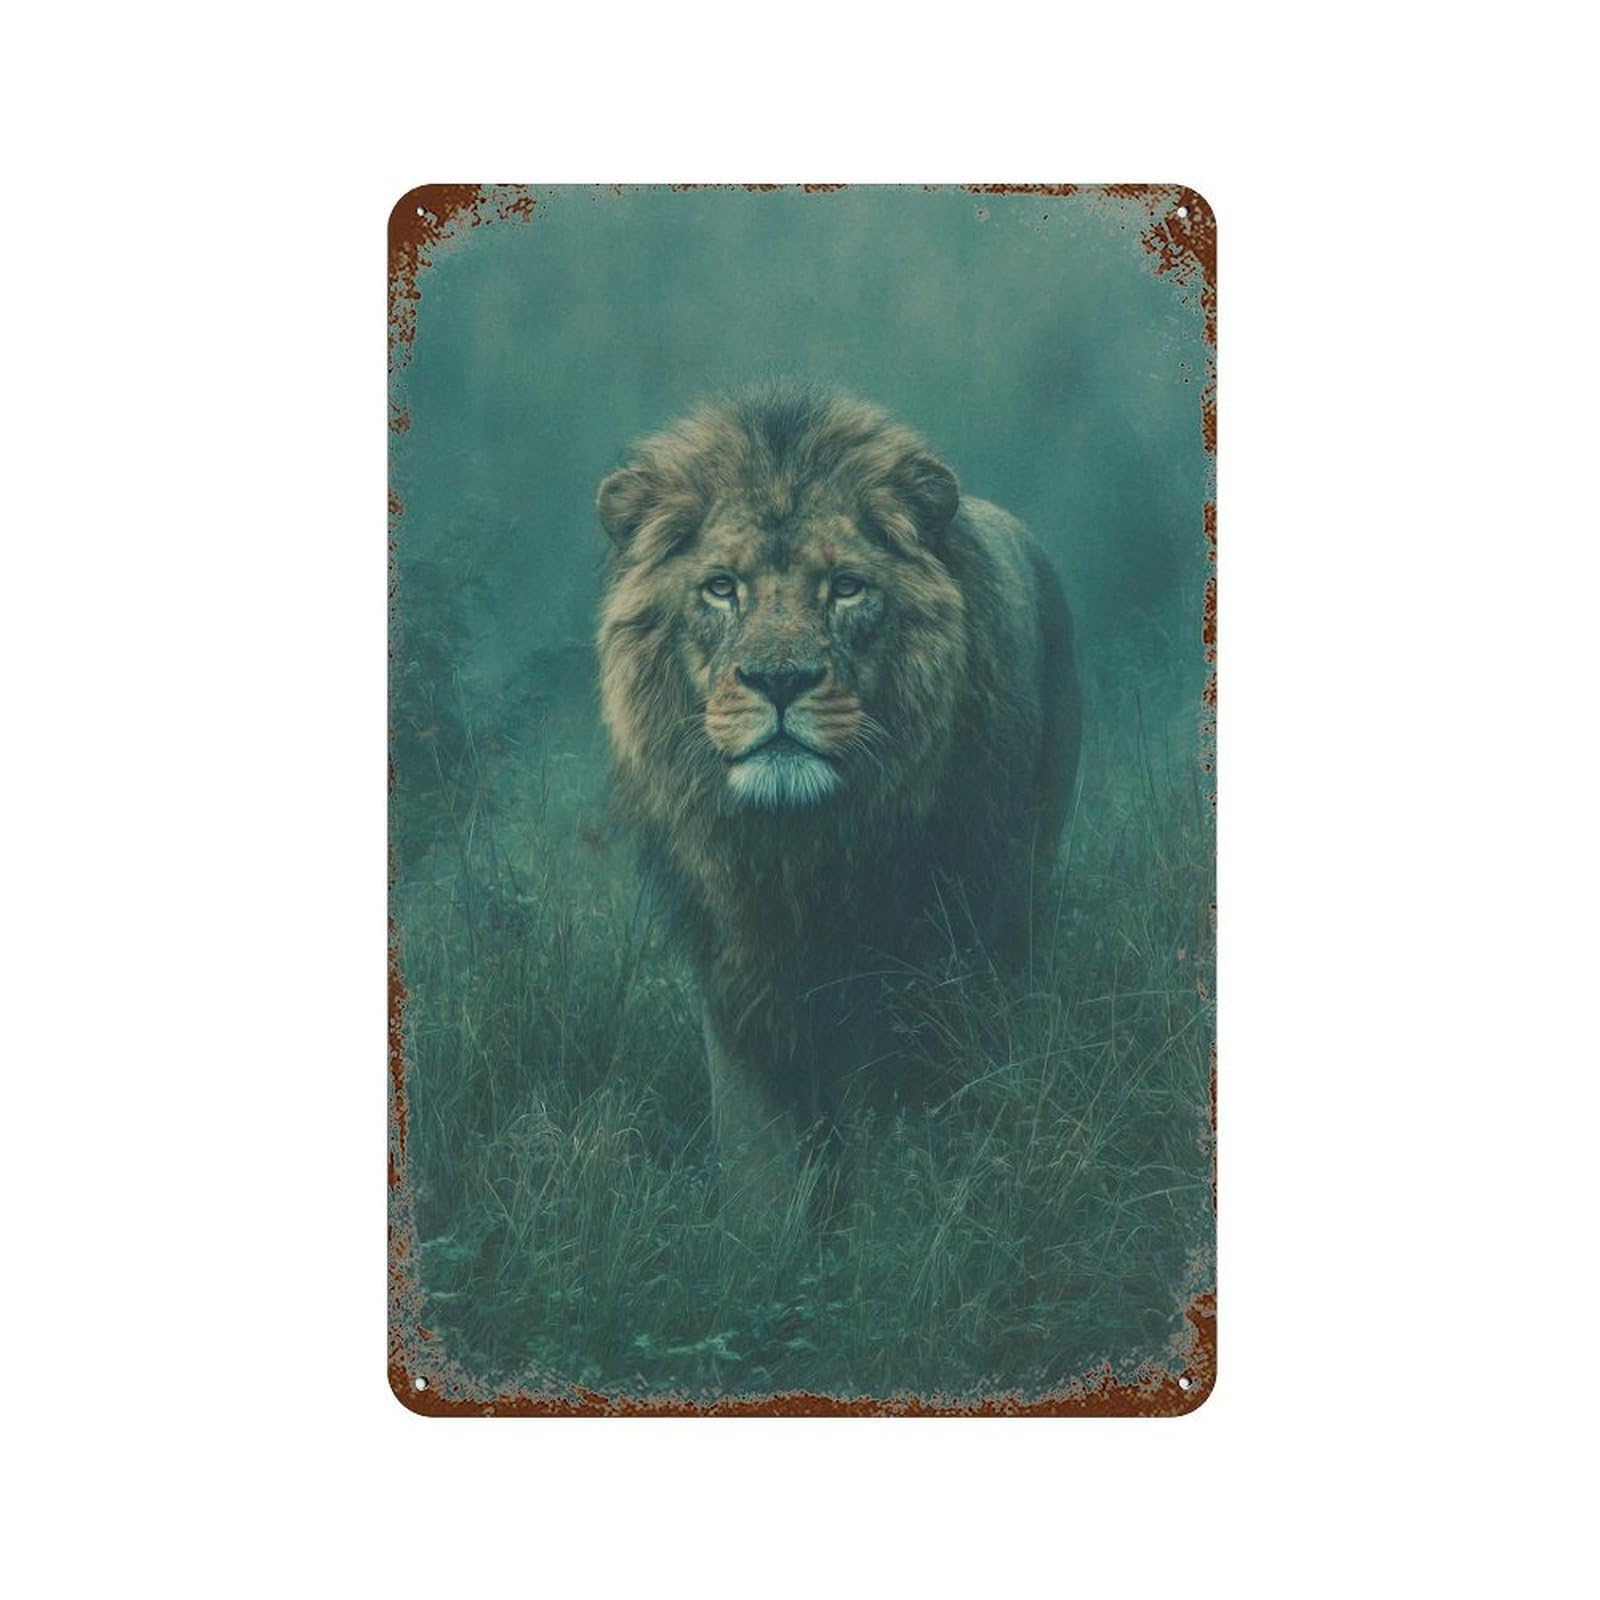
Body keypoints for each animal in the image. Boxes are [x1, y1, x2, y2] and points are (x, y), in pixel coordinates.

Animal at [596, 383, 1081, 1183]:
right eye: (721, 588)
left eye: (847, 588)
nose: (779, 681)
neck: (794, 850)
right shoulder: (732, 981)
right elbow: (756, 1158)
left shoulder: (892, 983)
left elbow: (882, 1130)